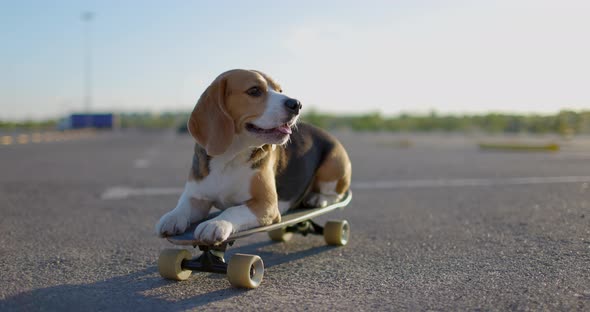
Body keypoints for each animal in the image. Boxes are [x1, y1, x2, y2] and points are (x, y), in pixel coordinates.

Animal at [156, 69, 352, 245]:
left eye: (280, 90)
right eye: (254, 90)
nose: (296, 104)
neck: (230, 157)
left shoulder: (267, 205)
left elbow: (233, 210)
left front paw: (215, 223)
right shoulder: (197, 198)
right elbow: (183, 206)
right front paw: (171, 217)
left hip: (334, 163)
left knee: (337, 193)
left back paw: (319, 198)